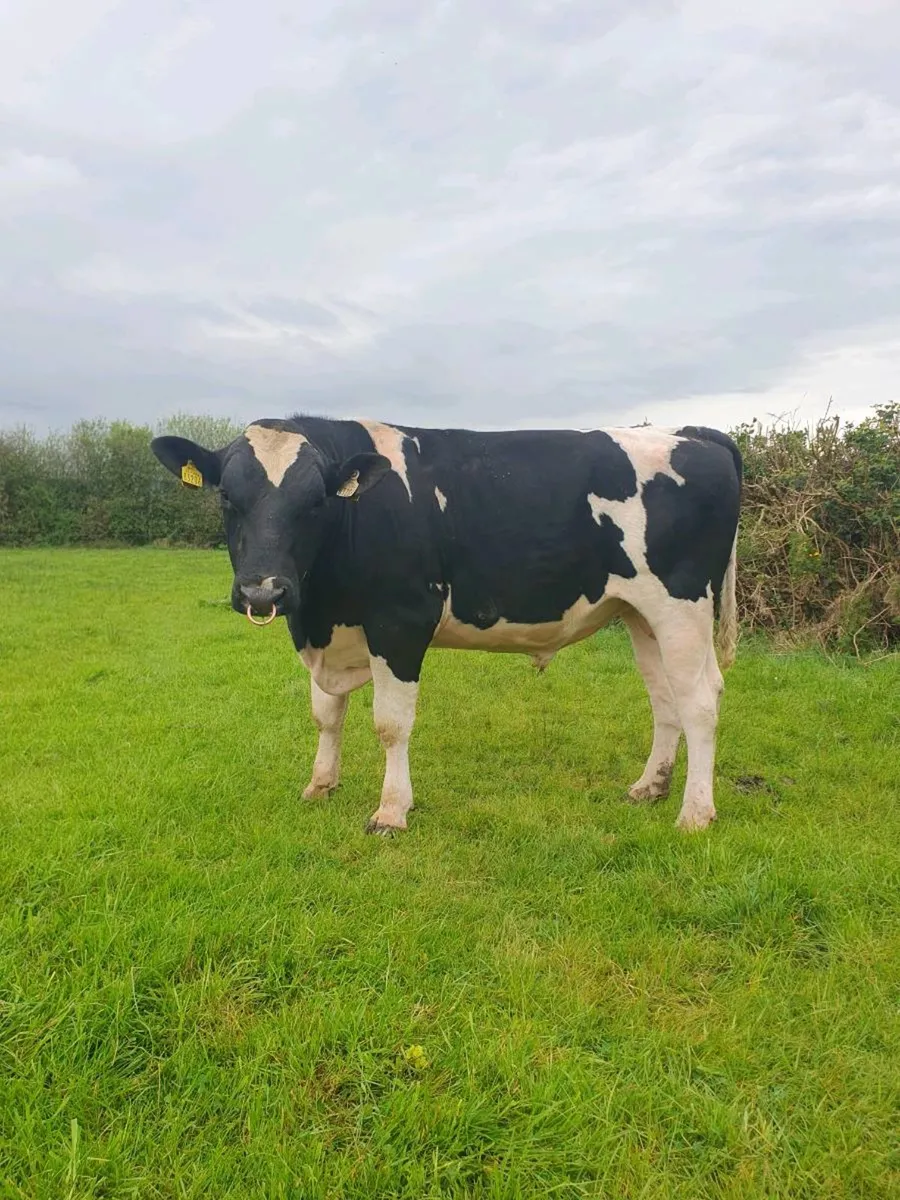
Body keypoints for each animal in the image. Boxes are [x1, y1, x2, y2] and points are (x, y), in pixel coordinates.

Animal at [150, 417, 741, 834]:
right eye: (227, 496)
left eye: (315, 501)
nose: (264, 592)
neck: (319, 611)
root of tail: (693, 432)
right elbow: (326, 715)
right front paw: (320, 785)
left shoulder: (400, 622)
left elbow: (391, 724)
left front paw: (391, 811)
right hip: (641, 615)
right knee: (665, 699)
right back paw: (650, 787)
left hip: (682, 604)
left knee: (700, 700)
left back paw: (695, 813)